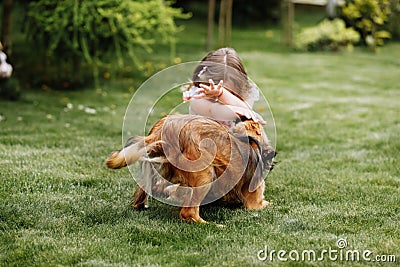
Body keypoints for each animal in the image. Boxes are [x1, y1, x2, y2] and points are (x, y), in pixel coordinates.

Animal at [105, 115, 276, 224]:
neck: (250, 141)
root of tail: (162, 131)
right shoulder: (255, 203)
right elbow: (269, 204)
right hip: (206, 174)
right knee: (188, 213)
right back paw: (212, 225)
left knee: (142, 195)